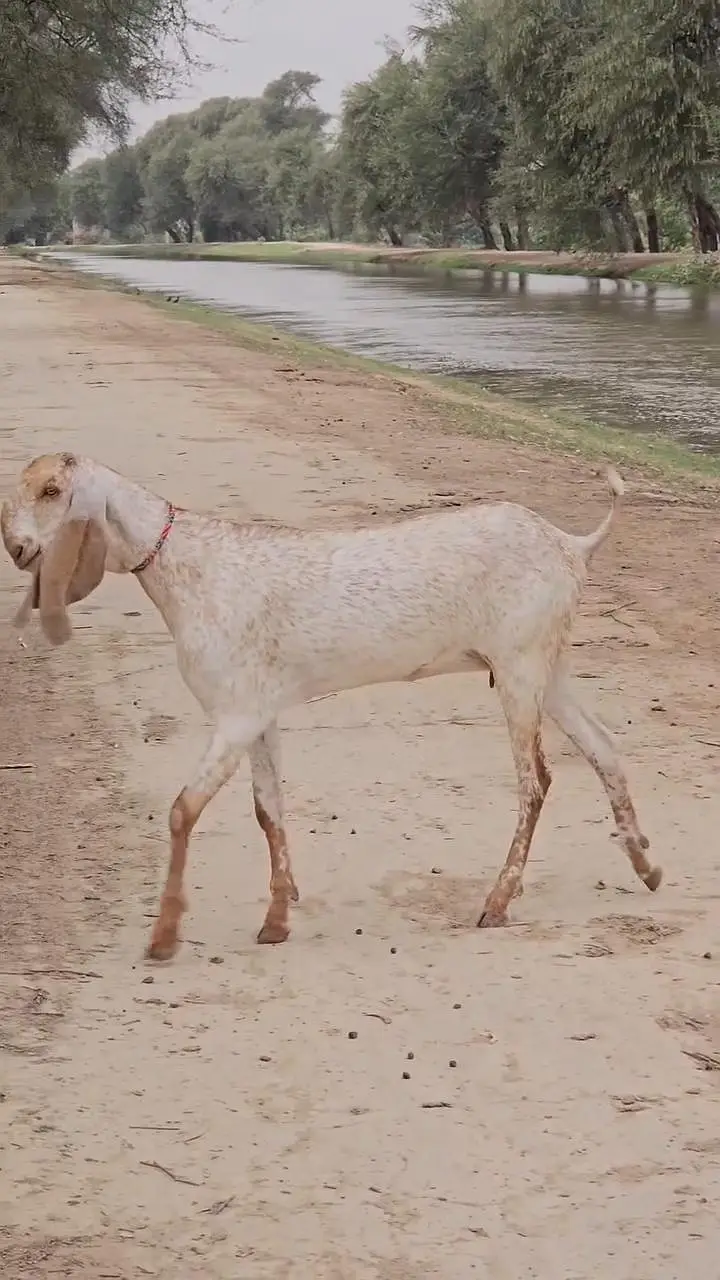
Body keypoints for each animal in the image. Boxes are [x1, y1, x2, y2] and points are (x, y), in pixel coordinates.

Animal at [1, 453, 661, 961]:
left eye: (52, 491)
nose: (17, 547)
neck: (190, 566)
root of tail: (569, 544)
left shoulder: (234, 714)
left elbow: (183, 812)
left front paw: (164, 937)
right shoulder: (260, 713)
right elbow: (267, 810)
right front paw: (277, 918)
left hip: (521, 668)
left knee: (534, 781)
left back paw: (497, 902)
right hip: (548, 666)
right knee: (603, 748)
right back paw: (644, 866)